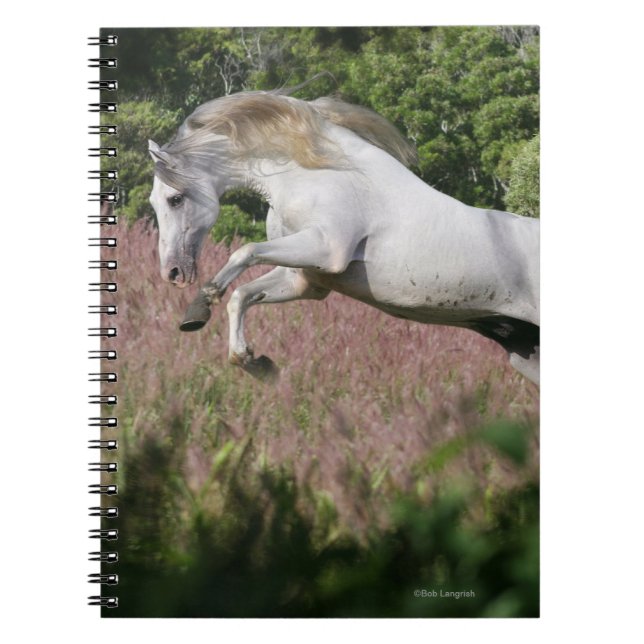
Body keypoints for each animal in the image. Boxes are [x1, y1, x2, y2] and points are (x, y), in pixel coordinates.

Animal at [148, 89, 540, 384]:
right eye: (155, 201)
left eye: (175, 198)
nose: (173, 272)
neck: (318, 171)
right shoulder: (306, 281)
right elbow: (242, 295)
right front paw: (254, 362)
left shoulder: (326, 249)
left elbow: (244, 251)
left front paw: (200, 306)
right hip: (527, 355)